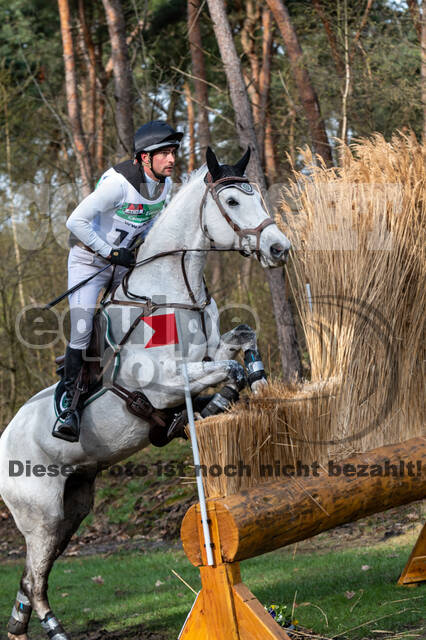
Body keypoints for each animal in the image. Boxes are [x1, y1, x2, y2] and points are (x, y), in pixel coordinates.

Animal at [0, 146, 290, 640]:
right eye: (232, 201)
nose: (278, 249)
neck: (175, 292)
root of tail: (3, 439)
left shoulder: (209, 350)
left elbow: (242, 341)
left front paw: (258, 386)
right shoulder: (161, 383)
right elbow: (226, 369)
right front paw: (216, 403)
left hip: (73, 507)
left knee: (31, 574)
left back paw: (19, 623)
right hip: (41, 515)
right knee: (36, 579)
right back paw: (52, 628)